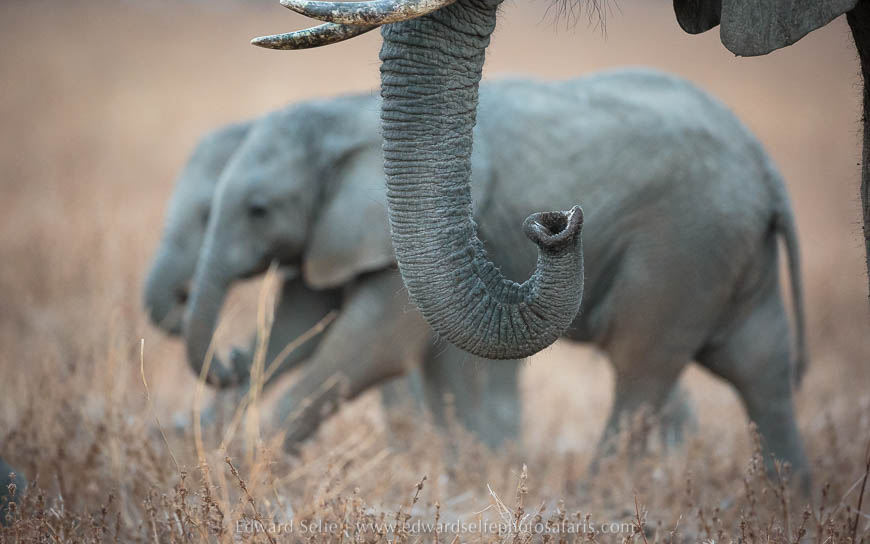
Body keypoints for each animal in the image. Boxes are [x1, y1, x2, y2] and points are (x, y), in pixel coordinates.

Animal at [183, 70, 807, 475]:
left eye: (258, 210)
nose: (227, 357)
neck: (344, 109)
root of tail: (766, 166)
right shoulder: (337, 233)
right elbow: (300, 322)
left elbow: (376, 345)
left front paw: (251, 471)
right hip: (730, 248)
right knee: (761, 363)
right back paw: (786, 501)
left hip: (685, 247)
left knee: (642, 364)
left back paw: (599, 498)